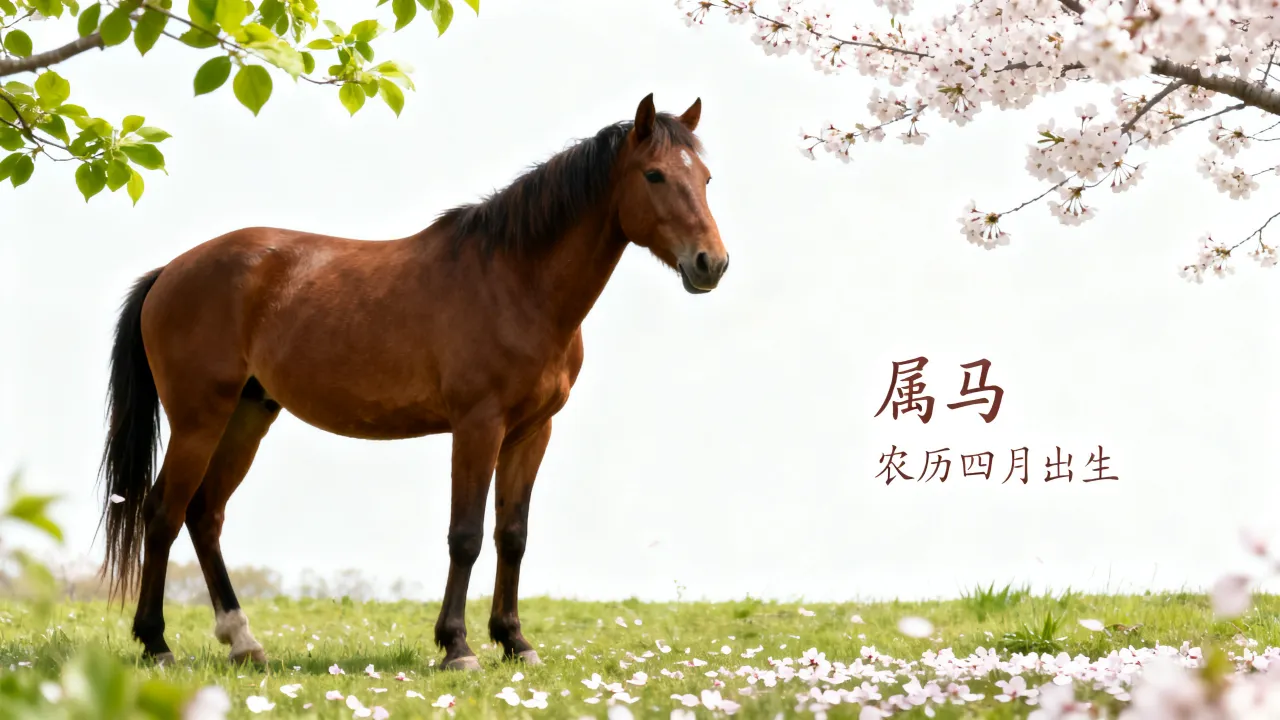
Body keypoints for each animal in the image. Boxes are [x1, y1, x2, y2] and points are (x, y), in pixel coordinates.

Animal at [95, 93, 729, 670]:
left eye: (705, 177)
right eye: (654, 174)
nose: (711, 264)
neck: (515, 282)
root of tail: (170, 272)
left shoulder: (532, 432)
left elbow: (512, 535)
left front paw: (514, 642)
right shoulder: (478, 426)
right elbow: (465, 535)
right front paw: (458, 648)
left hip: (248, 416)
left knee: (204, 515)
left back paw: (244, 642)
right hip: (199, 421)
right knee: (163, 513)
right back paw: (156, 643)